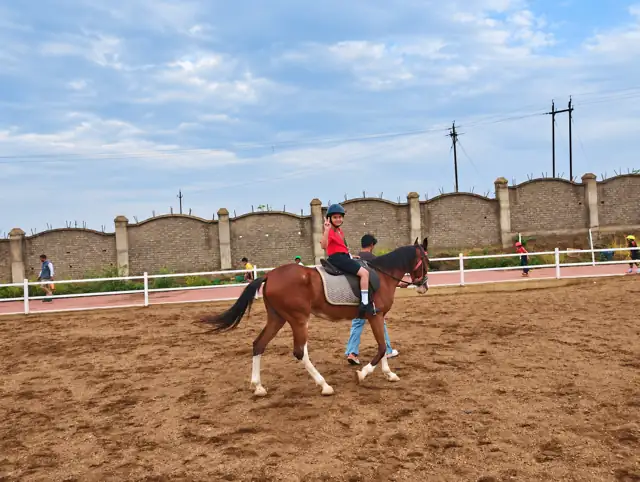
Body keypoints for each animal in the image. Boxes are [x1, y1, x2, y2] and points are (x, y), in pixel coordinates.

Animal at [200, 237, 429, 397]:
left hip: (277, 318)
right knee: (299, 352)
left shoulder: (376, 317)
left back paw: (258, 387)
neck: (381, 275)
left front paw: (389, 374)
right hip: (298, 320)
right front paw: (362, 374)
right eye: (426, 260)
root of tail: (270, 275)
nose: (424, 286)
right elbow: (381, 347)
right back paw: (324, 385)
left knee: (259, 344)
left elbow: (382, 346)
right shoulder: (376, 316)